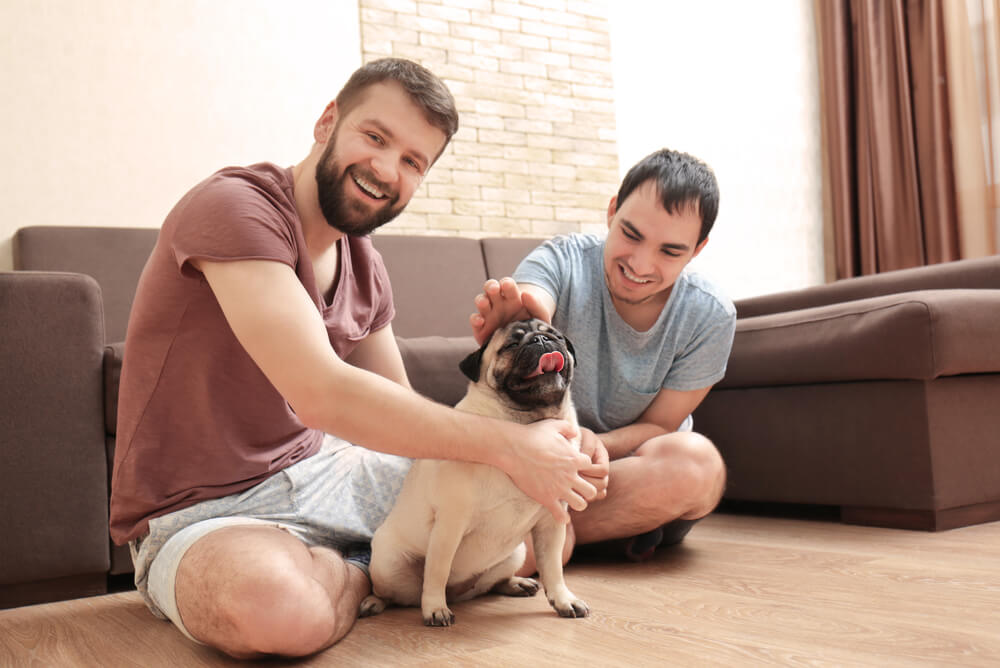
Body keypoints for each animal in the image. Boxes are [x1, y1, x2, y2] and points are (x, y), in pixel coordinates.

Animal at [360, 318, 588, 628]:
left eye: (556, 337)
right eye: (512, 345)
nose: (541, 340)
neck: (527, 423)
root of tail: (459, 593)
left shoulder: (552, 523)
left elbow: (553, 569)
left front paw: (564, 600)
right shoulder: (450, 524)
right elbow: (437, 571)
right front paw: (435, 608)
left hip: (516, 553)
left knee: (489, 584)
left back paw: (514, 583)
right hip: (388, 562)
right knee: (394, 592)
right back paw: (375, 601)